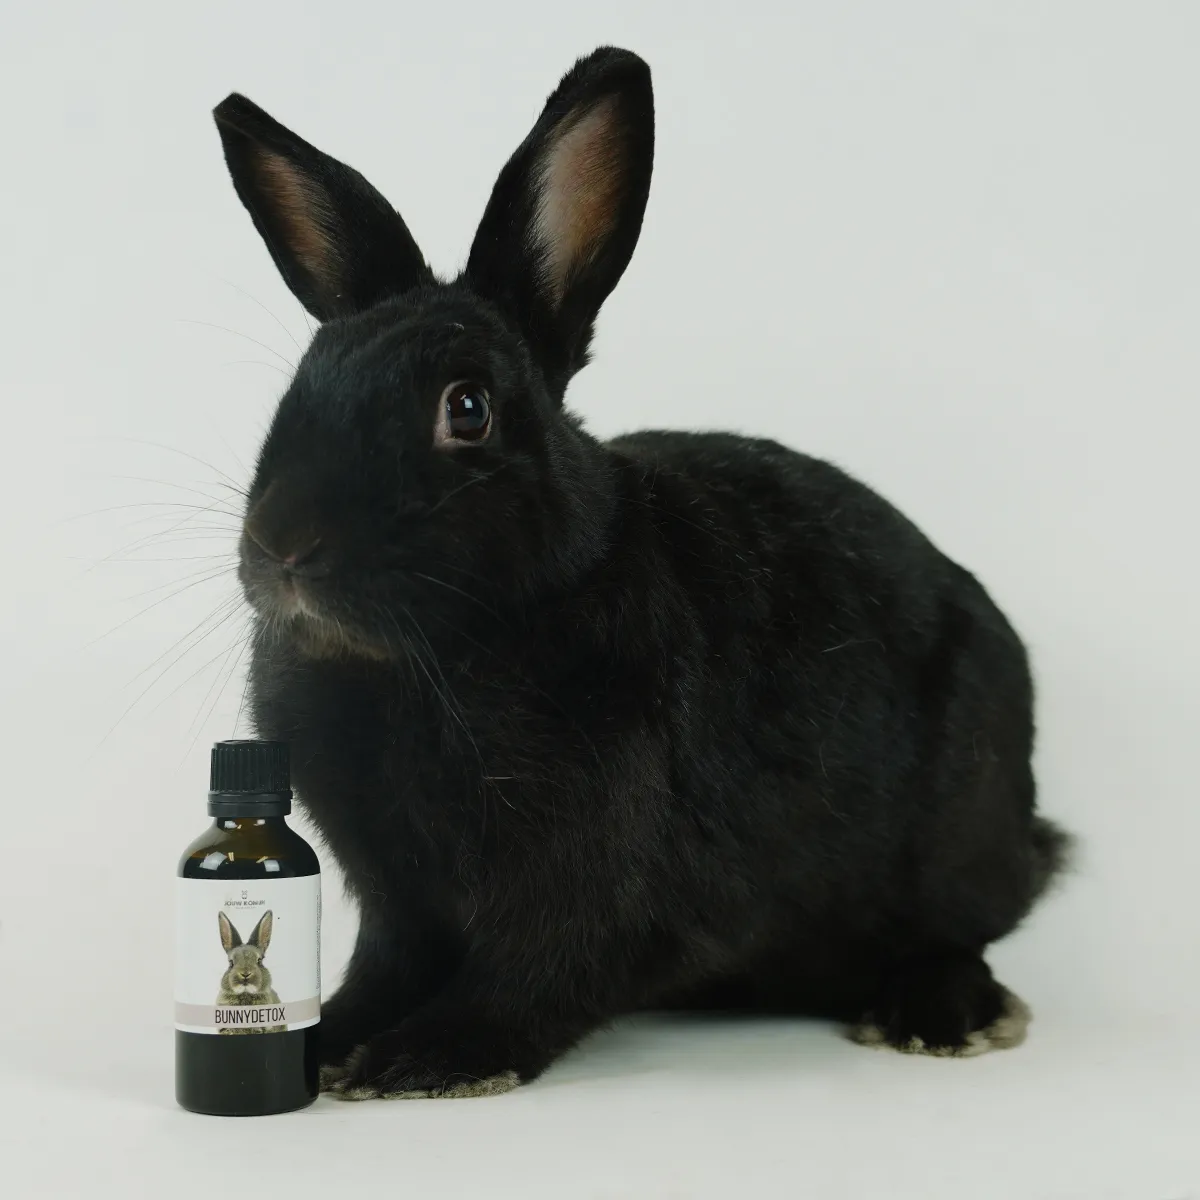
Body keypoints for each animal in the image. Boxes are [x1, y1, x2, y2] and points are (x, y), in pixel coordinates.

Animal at [211, 46, 1070, 1099]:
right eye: (299, 387)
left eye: (468, 408)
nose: (284, 545)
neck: (430, 654)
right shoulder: (397, 895)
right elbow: (386, 966)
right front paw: (330, 1043)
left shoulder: (601, 879)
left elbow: (538, 977)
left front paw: (423, 1060)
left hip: (953, 839)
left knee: (958, 934)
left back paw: (939, 1018)